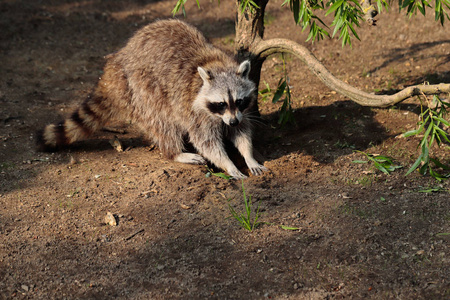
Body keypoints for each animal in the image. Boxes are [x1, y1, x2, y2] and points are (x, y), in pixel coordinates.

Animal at [37, 19, 268, 178]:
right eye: (220, 103)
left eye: (239, 101)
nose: (232, 120)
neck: (215, 64)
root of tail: (115, 65)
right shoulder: (193, 109)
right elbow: (206, 141)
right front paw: (228, 163)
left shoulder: (239, 111)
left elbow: (241, 131)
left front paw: (248, 155)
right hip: (142, 89)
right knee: (163, 123)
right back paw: (175, 152)